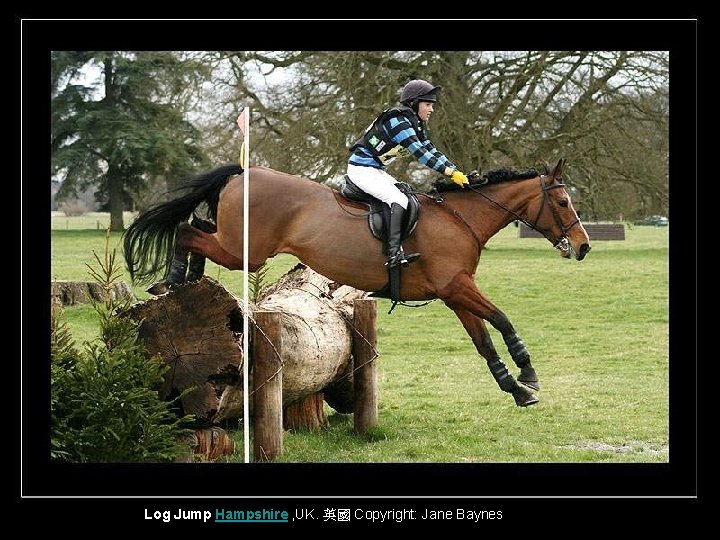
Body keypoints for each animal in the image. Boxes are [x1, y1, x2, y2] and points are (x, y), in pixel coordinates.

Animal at [124, 158, 592, 408]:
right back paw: (173, 281)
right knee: (187, 230)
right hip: (245, 251)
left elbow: (485, 342)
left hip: (236, 245)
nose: (584, 247)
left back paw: (185, 282)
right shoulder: (458, 286)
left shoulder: (454, 293)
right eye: (563, 201)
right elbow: (504, 321)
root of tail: (241, 172)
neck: (461, 219)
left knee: (196, 227)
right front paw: (529, 374)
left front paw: (515, 389)